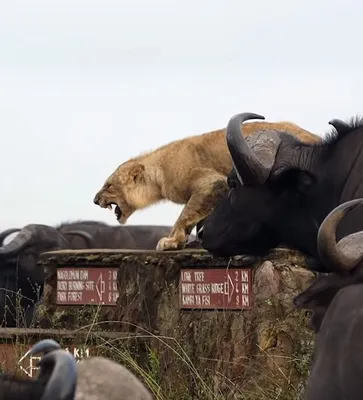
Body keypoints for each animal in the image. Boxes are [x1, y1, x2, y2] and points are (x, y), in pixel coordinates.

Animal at [94, 114, 322, 250]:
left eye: (108, 186)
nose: (95, 200)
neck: (158, 175)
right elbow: (198, 217)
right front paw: (191, 240)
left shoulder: (212, 182)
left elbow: (186, 214)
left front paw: (171, 240)